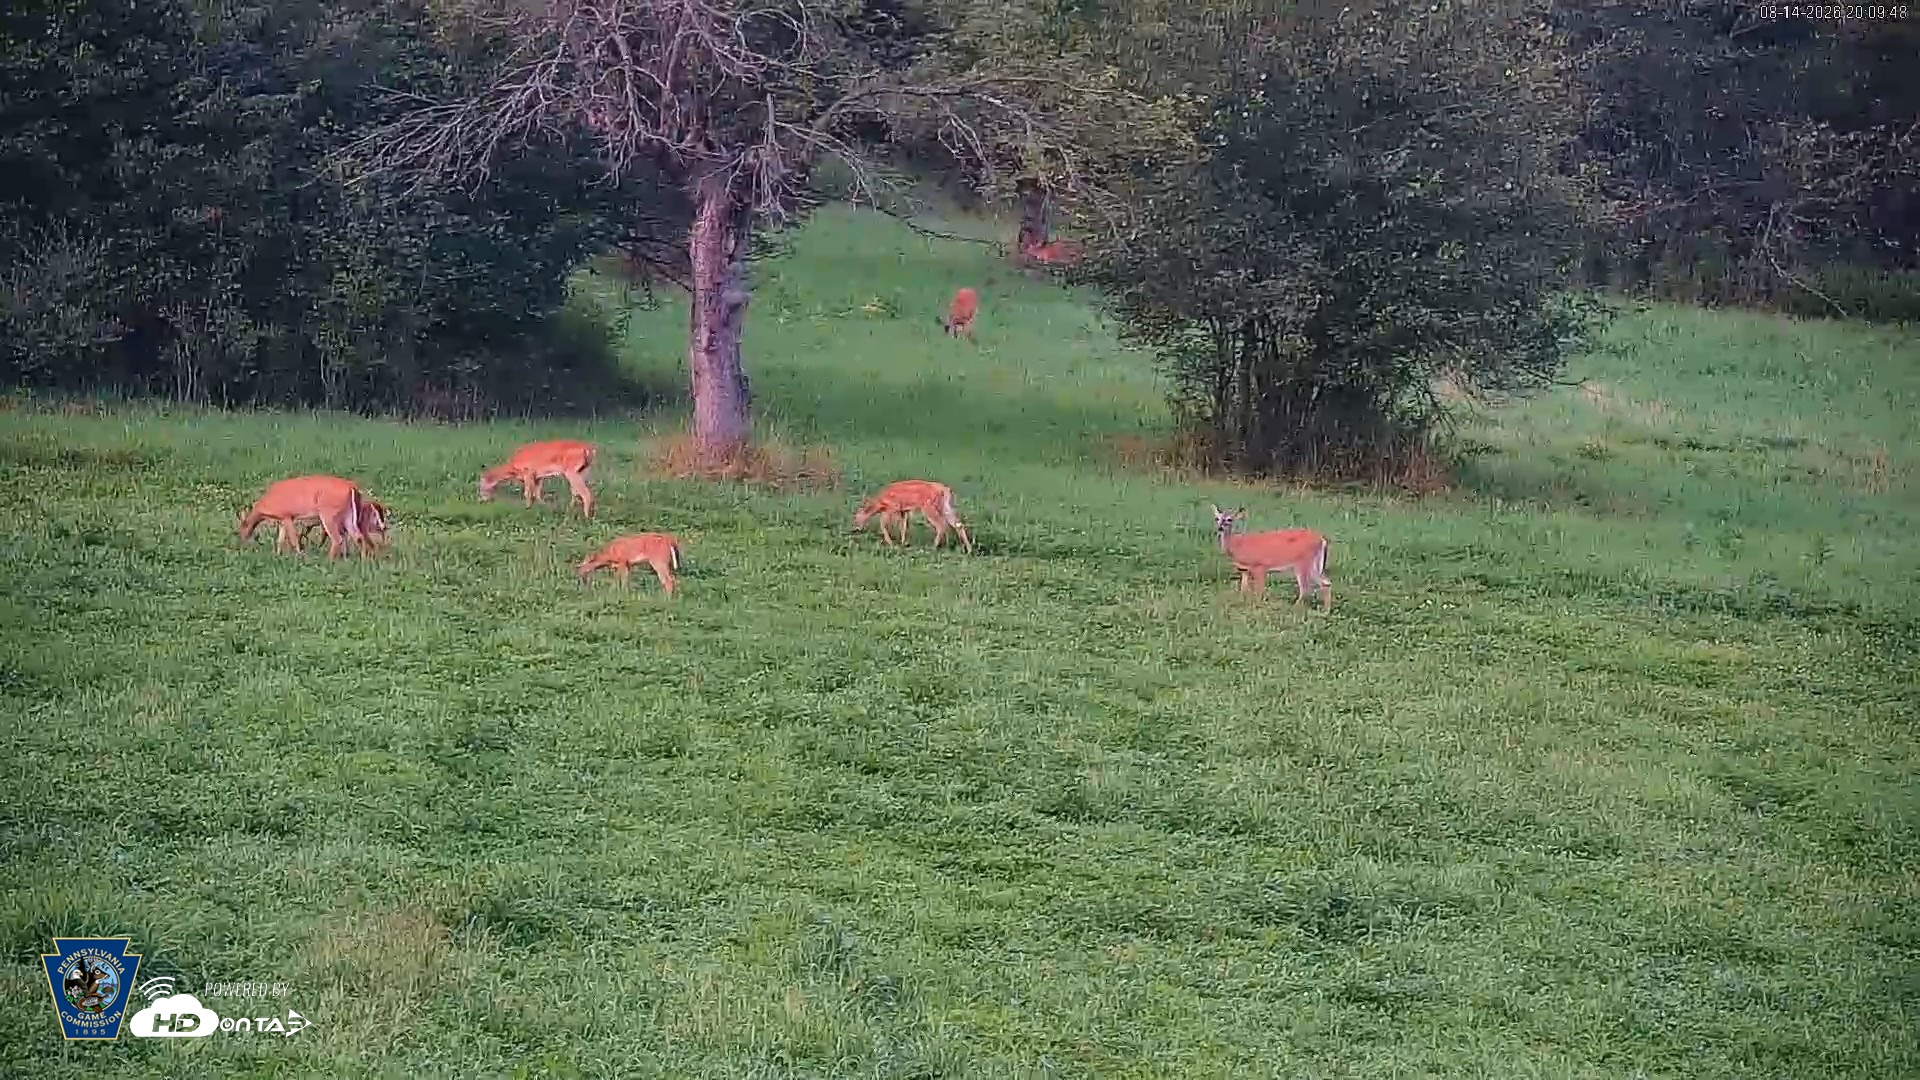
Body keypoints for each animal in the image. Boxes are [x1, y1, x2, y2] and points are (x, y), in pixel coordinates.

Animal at [238, 476, 383, 560]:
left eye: (239, 529)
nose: (241, 541)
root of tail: (352, 487)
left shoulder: (287, 516)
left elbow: (293, 539)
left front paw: (300, 556)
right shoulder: (283, 519)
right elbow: (280, 539)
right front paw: (277, 555)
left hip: (328, 514)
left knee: (338, 538)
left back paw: (329, 561)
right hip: (347, 515)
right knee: (358, 536)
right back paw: (363, 560)